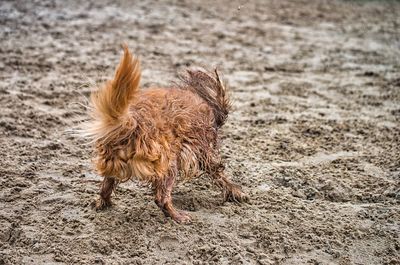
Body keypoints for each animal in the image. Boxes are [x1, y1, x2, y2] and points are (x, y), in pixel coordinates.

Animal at [86, 45, 248, 223]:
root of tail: (130, 123)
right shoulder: (204, 149)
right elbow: (218, 171)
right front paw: (236, 192)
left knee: (106, 186)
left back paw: (103, 203)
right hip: (169, 164)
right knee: (161, 198)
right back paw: (178, 216)